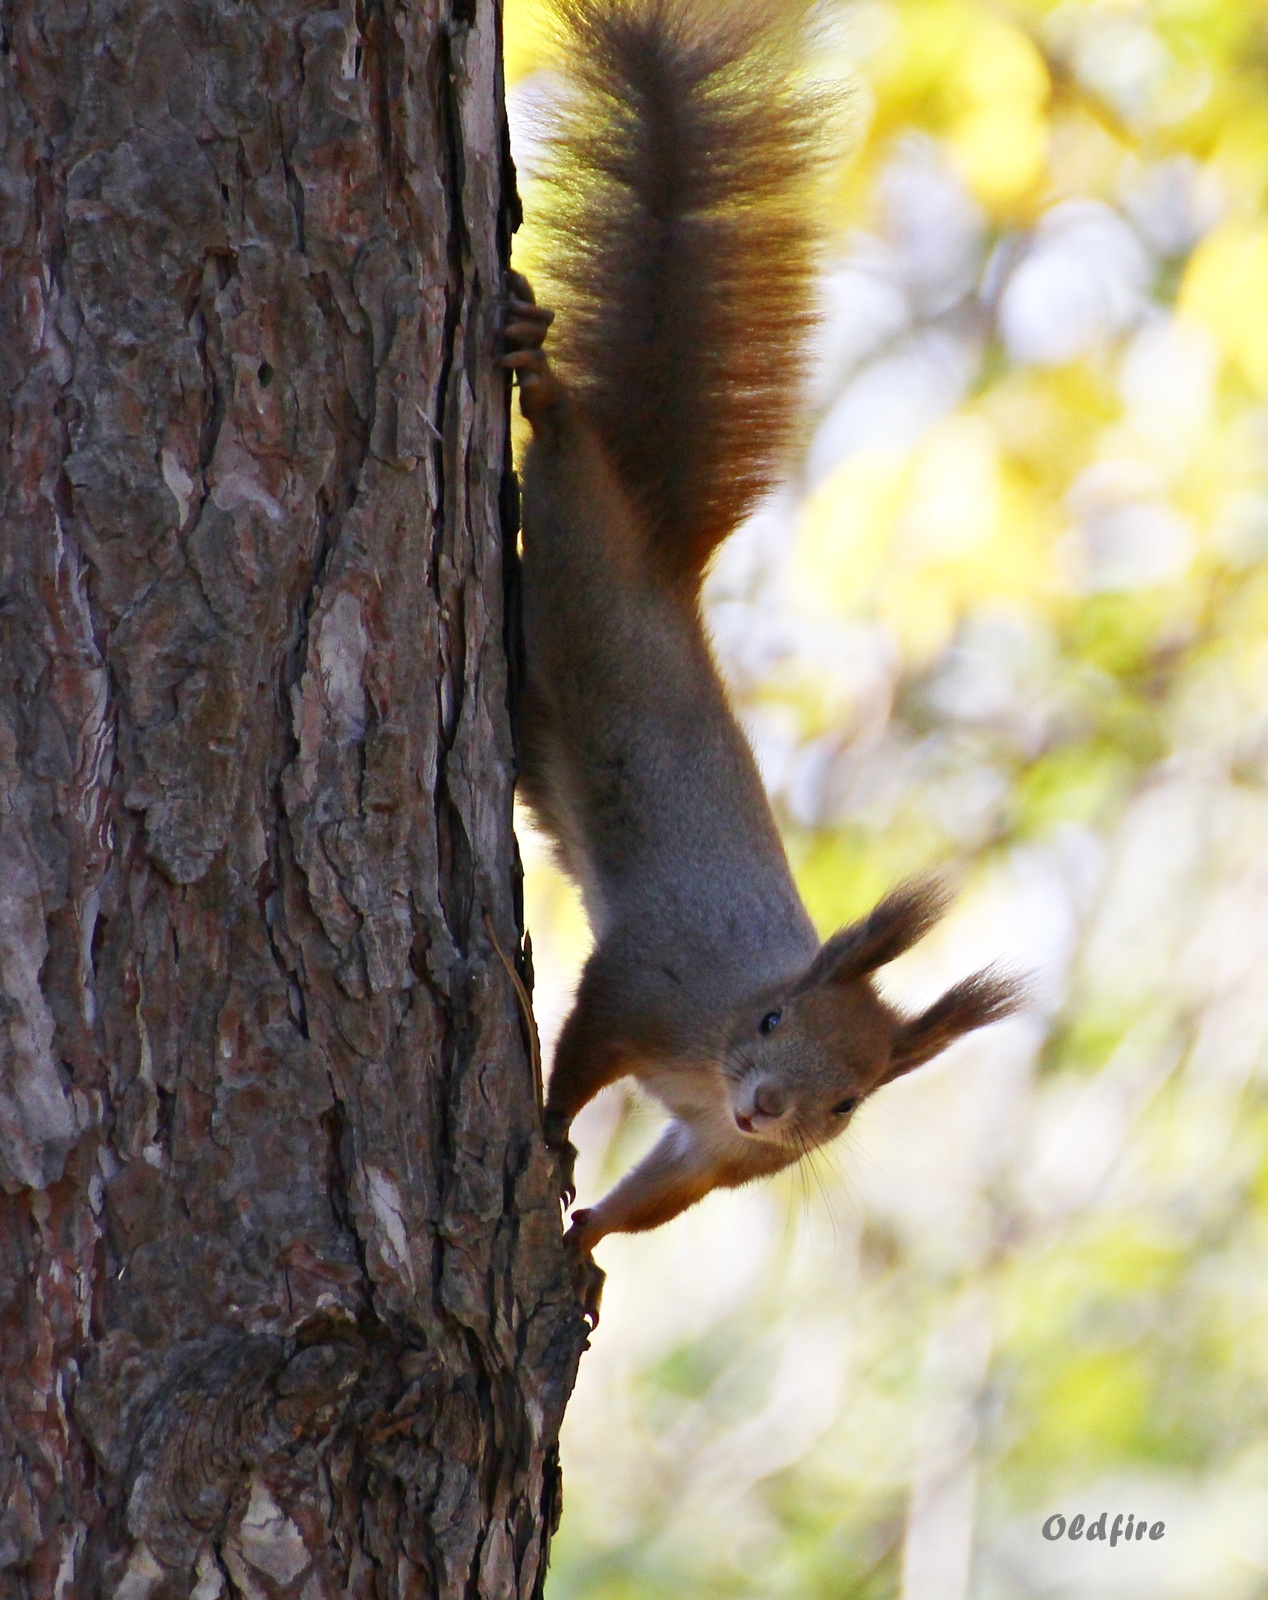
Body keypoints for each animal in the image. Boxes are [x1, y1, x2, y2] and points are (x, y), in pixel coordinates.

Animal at [502, 0, 1018, 1286]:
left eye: (849, 1104)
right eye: (774, 1022)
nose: (770, 1108)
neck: (716, 1048)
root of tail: (664, 566)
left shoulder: (712, 1151)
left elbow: (662, 1192)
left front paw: (588, 1244)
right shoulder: (649, 978)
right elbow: (581, 1044)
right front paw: (546, 1127)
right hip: (578, 554)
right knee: (567, 456)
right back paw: (544, 383)